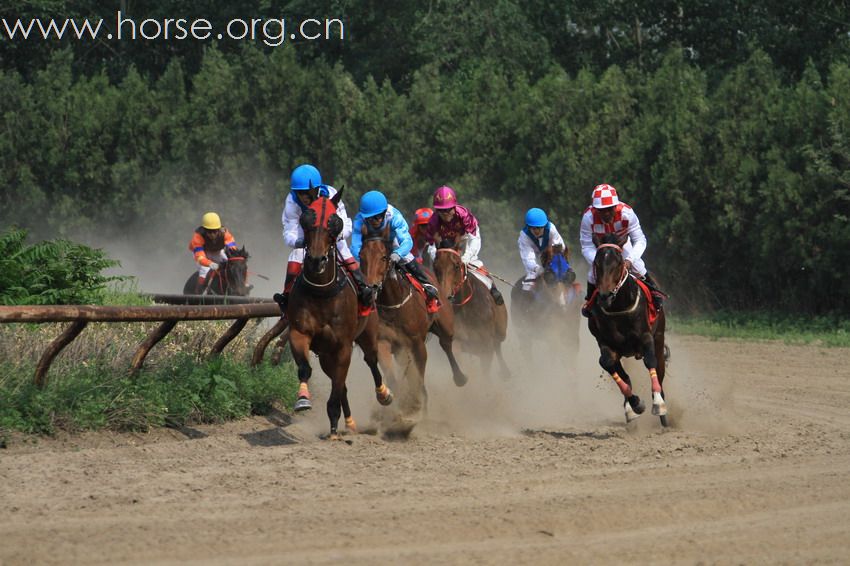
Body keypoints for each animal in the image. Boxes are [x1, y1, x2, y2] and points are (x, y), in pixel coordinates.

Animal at [284, 193, 392, 442]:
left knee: (371, 362)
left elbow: (340, 383)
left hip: (367, 336)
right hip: (325, 355)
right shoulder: (299, 333)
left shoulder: (343, 345)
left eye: (335, 222)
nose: (316, 259)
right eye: (306, 219)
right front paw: (303, 400)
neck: (322, 291)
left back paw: (383, 394)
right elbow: (305, 369)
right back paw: (349, 423)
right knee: (339, 382)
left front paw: (334, 428)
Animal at [356, 224, 468, 432]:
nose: (372, 287)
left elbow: (419, 375)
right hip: (401, 348)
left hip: (446, 326)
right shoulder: (384, 341)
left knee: (447, 346)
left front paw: (416, 405)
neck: (393, 303)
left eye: (384, 257)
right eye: (361, 256)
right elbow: (391, 375)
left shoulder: (417, 343)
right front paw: (395, 405)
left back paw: (460, 378)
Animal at [434, 242, 506, 380]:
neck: (466, 310)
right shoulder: (457, 341)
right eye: (436, 267)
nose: (446, 297)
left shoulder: (487, 346)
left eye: (456, 265)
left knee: (498, 346)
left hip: (500, 332)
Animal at [588, 233, 664, 428]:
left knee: (659, 369)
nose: (605, 295)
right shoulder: (606, 344)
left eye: (619, 262)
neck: (618, 308)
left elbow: (650, 361)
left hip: (659, 337)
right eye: (596, 263)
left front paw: (658, 403)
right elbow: (608, 362)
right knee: (621, 372)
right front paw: (635, 404)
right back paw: (630, 407)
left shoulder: (646, 337)